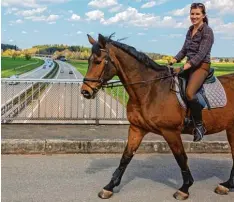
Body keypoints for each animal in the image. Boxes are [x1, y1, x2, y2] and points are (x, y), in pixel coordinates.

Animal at [80, 34, 234, 200]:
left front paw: (184, 188)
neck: (150, 89)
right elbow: (126, 156)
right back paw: (226, 185)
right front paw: (109, 187)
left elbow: (181, 157)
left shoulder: (170, 132)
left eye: (98, 61)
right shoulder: (137, 128)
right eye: (88, 60)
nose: (85, 92)